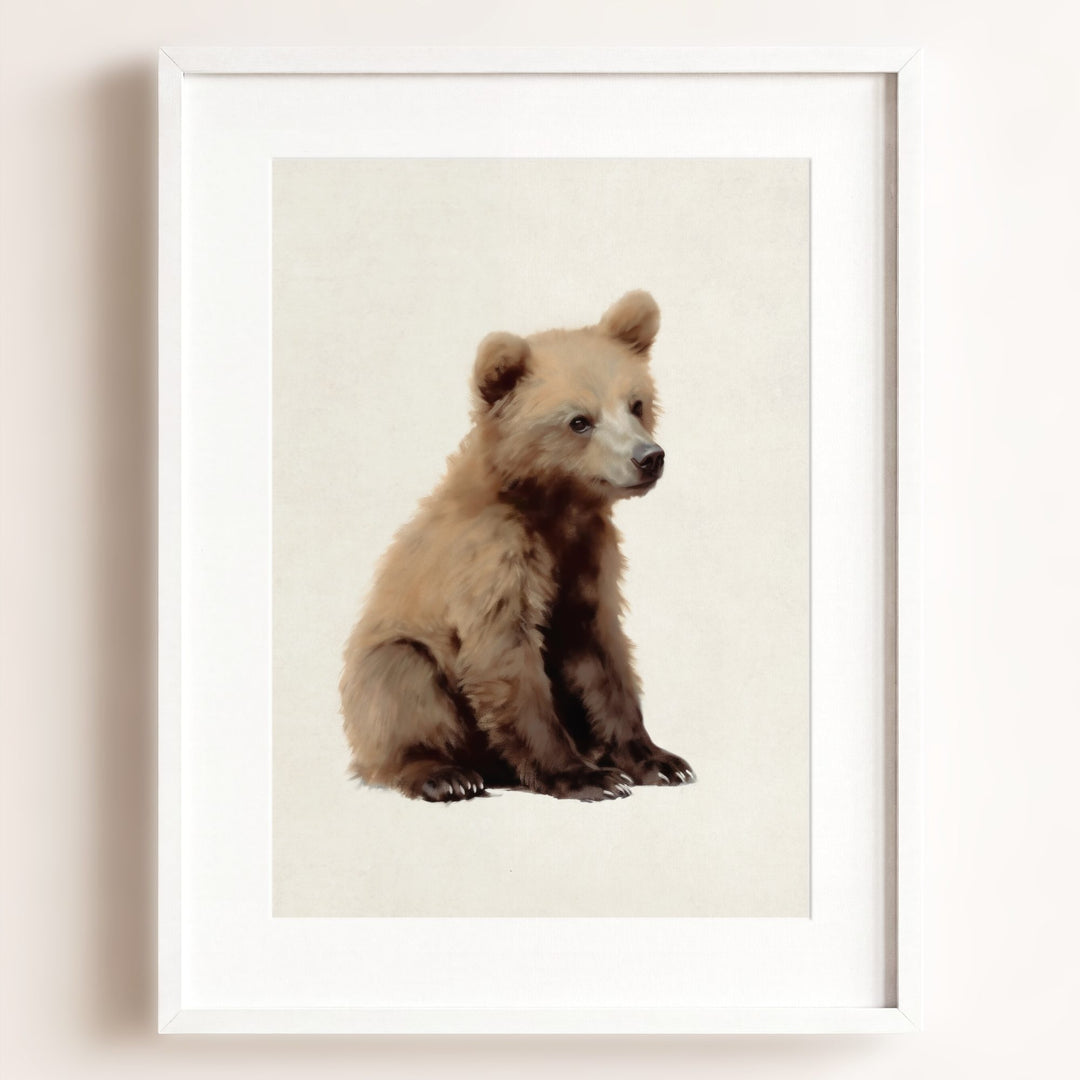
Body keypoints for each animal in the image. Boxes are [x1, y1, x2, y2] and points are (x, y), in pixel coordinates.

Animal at [339, 290, 694, 802]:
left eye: (636, 403)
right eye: (579, 421)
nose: (649, 457)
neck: (555, 507)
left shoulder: (586, 558)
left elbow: (603, 655)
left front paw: (658, 761)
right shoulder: (491, 558)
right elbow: (506, 657)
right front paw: (586, 776)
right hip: (391, 663)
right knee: (400, 679)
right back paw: (445, 773)